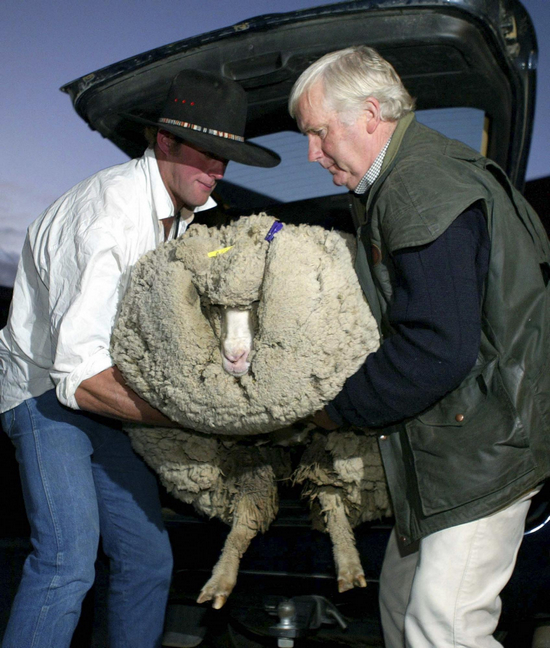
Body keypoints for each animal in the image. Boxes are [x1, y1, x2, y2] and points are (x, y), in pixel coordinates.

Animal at [111, 213, 391, 609]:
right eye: (212, 307)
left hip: (340, 445)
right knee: (250, 509)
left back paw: (349, 568)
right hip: (251, 459)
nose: (235, 357)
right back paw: (220, 580)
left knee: (331, 497)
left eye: (259, 301)